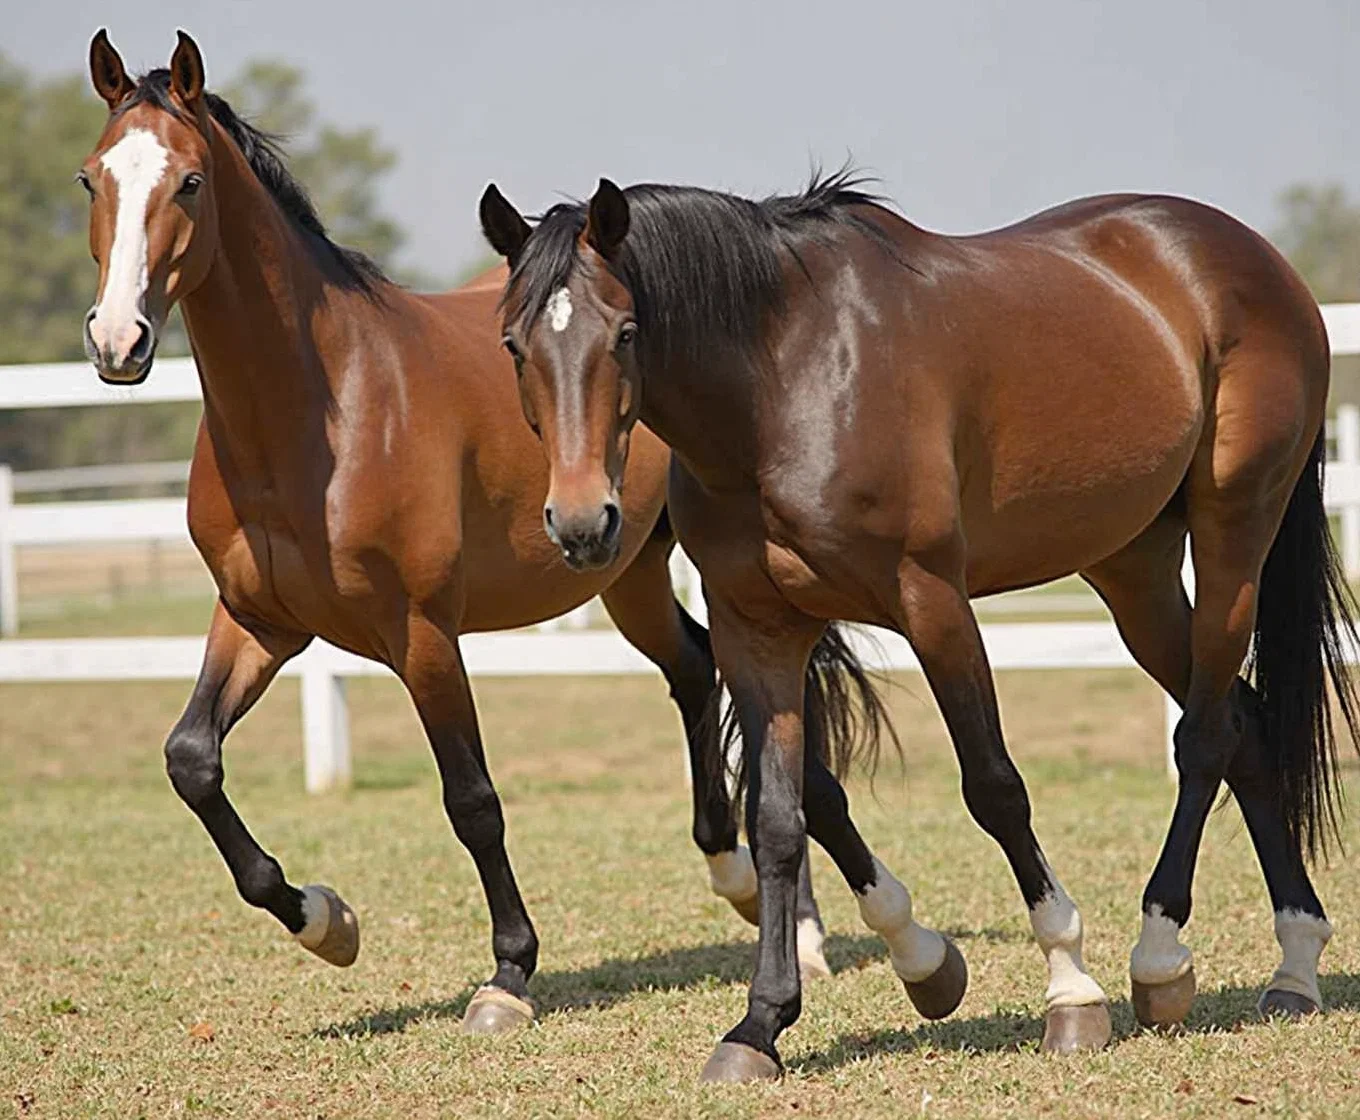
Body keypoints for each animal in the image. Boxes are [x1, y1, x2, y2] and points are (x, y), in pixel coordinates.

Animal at [74, 30, 848, 1033]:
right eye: (93, 178)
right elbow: (191, 761)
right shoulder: (259, 621)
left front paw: (509, 974)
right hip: (628, 570)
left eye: (192, 182)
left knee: (765, 721)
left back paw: (809, 929)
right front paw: (325, 921)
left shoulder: (421, 634)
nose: (117, 340)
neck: (327, 409)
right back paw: (739, 876)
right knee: (694, 669)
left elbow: (472, 799)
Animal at [481, 172, 1360, 1076]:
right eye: (513, 344)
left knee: (1206, 736)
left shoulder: (932, 602)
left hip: (1232, 535)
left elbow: (995, 789)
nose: (583, 524)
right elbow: (780, 821)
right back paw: (1293, 964)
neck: (784, 383)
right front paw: (763, 1023)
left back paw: (1158, 958)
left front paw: (1070, 991)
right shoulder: (755, 628)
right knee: (1244, 724)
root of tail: (1254, 258)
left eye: (625, 333)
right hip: (1134, 569)